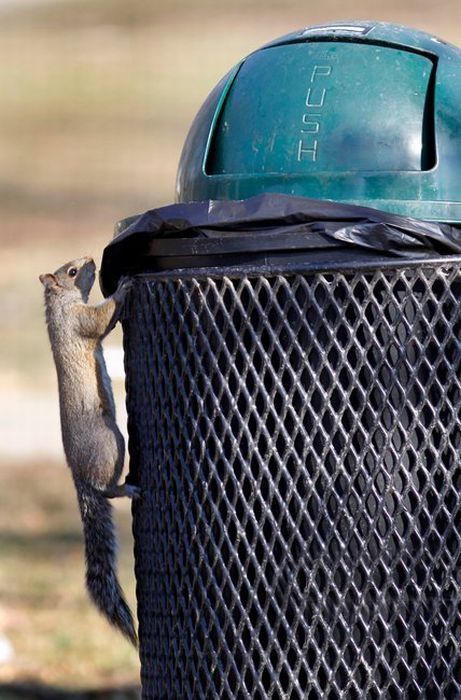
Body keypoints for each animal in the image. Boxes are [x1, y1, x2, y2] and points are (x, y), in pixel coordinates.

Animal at [38, 256, 139, 644]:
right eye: (70, 271)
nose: (91, 260)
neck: (60, 304)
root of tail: (80, 478)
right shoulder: (78, 321)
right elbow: (99, 321)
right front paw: (122, 288)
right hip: (112, 443)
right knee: (106, 489)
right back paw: (124, 487)